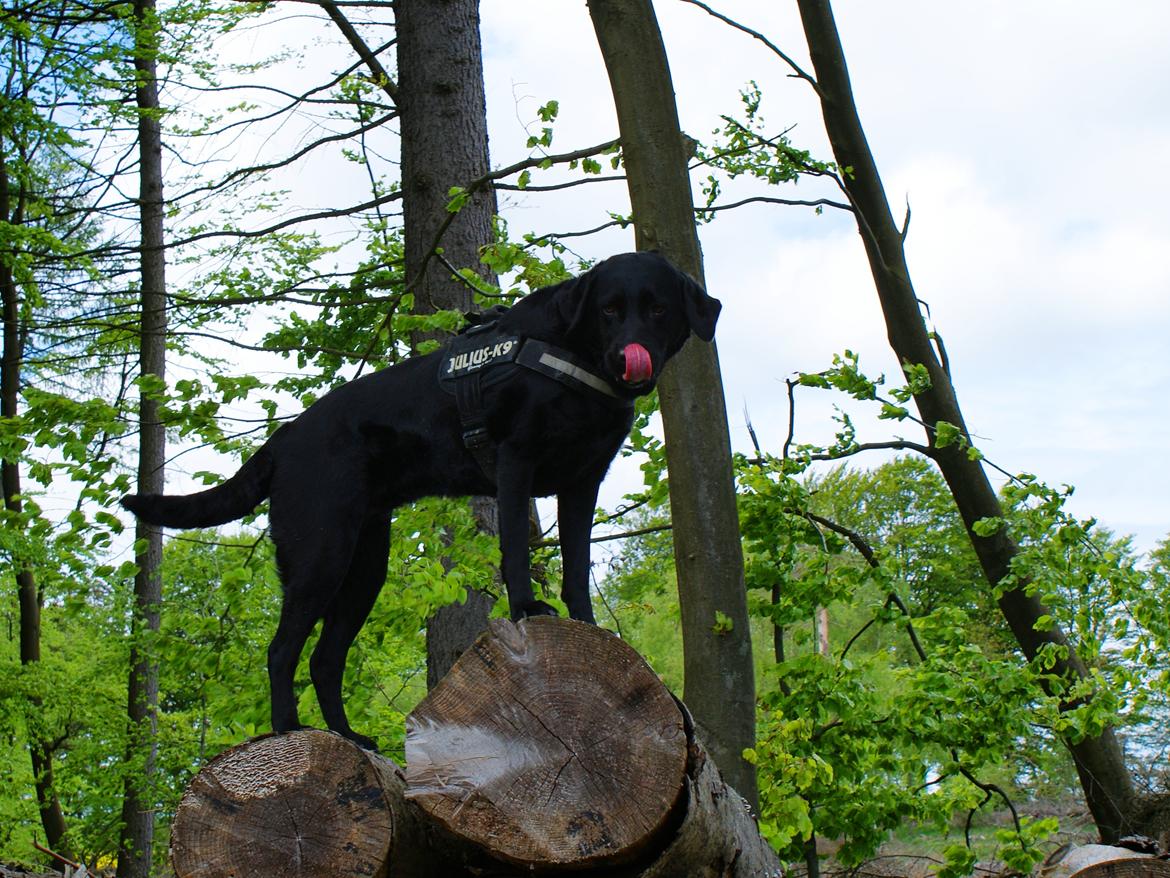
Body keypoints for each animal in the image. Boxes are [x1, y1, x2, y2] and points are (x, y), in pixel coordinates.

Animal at [123, 249, 716, 749]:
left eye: (658, 309)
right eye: (609, 310)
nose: (627, 355)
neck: (574, 355)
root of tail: (282, 440)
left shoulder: (582, 483)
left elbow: (575, 566)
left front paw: (588, 627)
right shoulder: (516, 462)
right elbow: (516, 554)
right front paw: (527, 609)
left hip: (364, 567)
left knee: (324, 660)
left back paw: (349, 737)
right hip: (321, 556)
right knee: (282, 650)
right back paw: (289, 730)